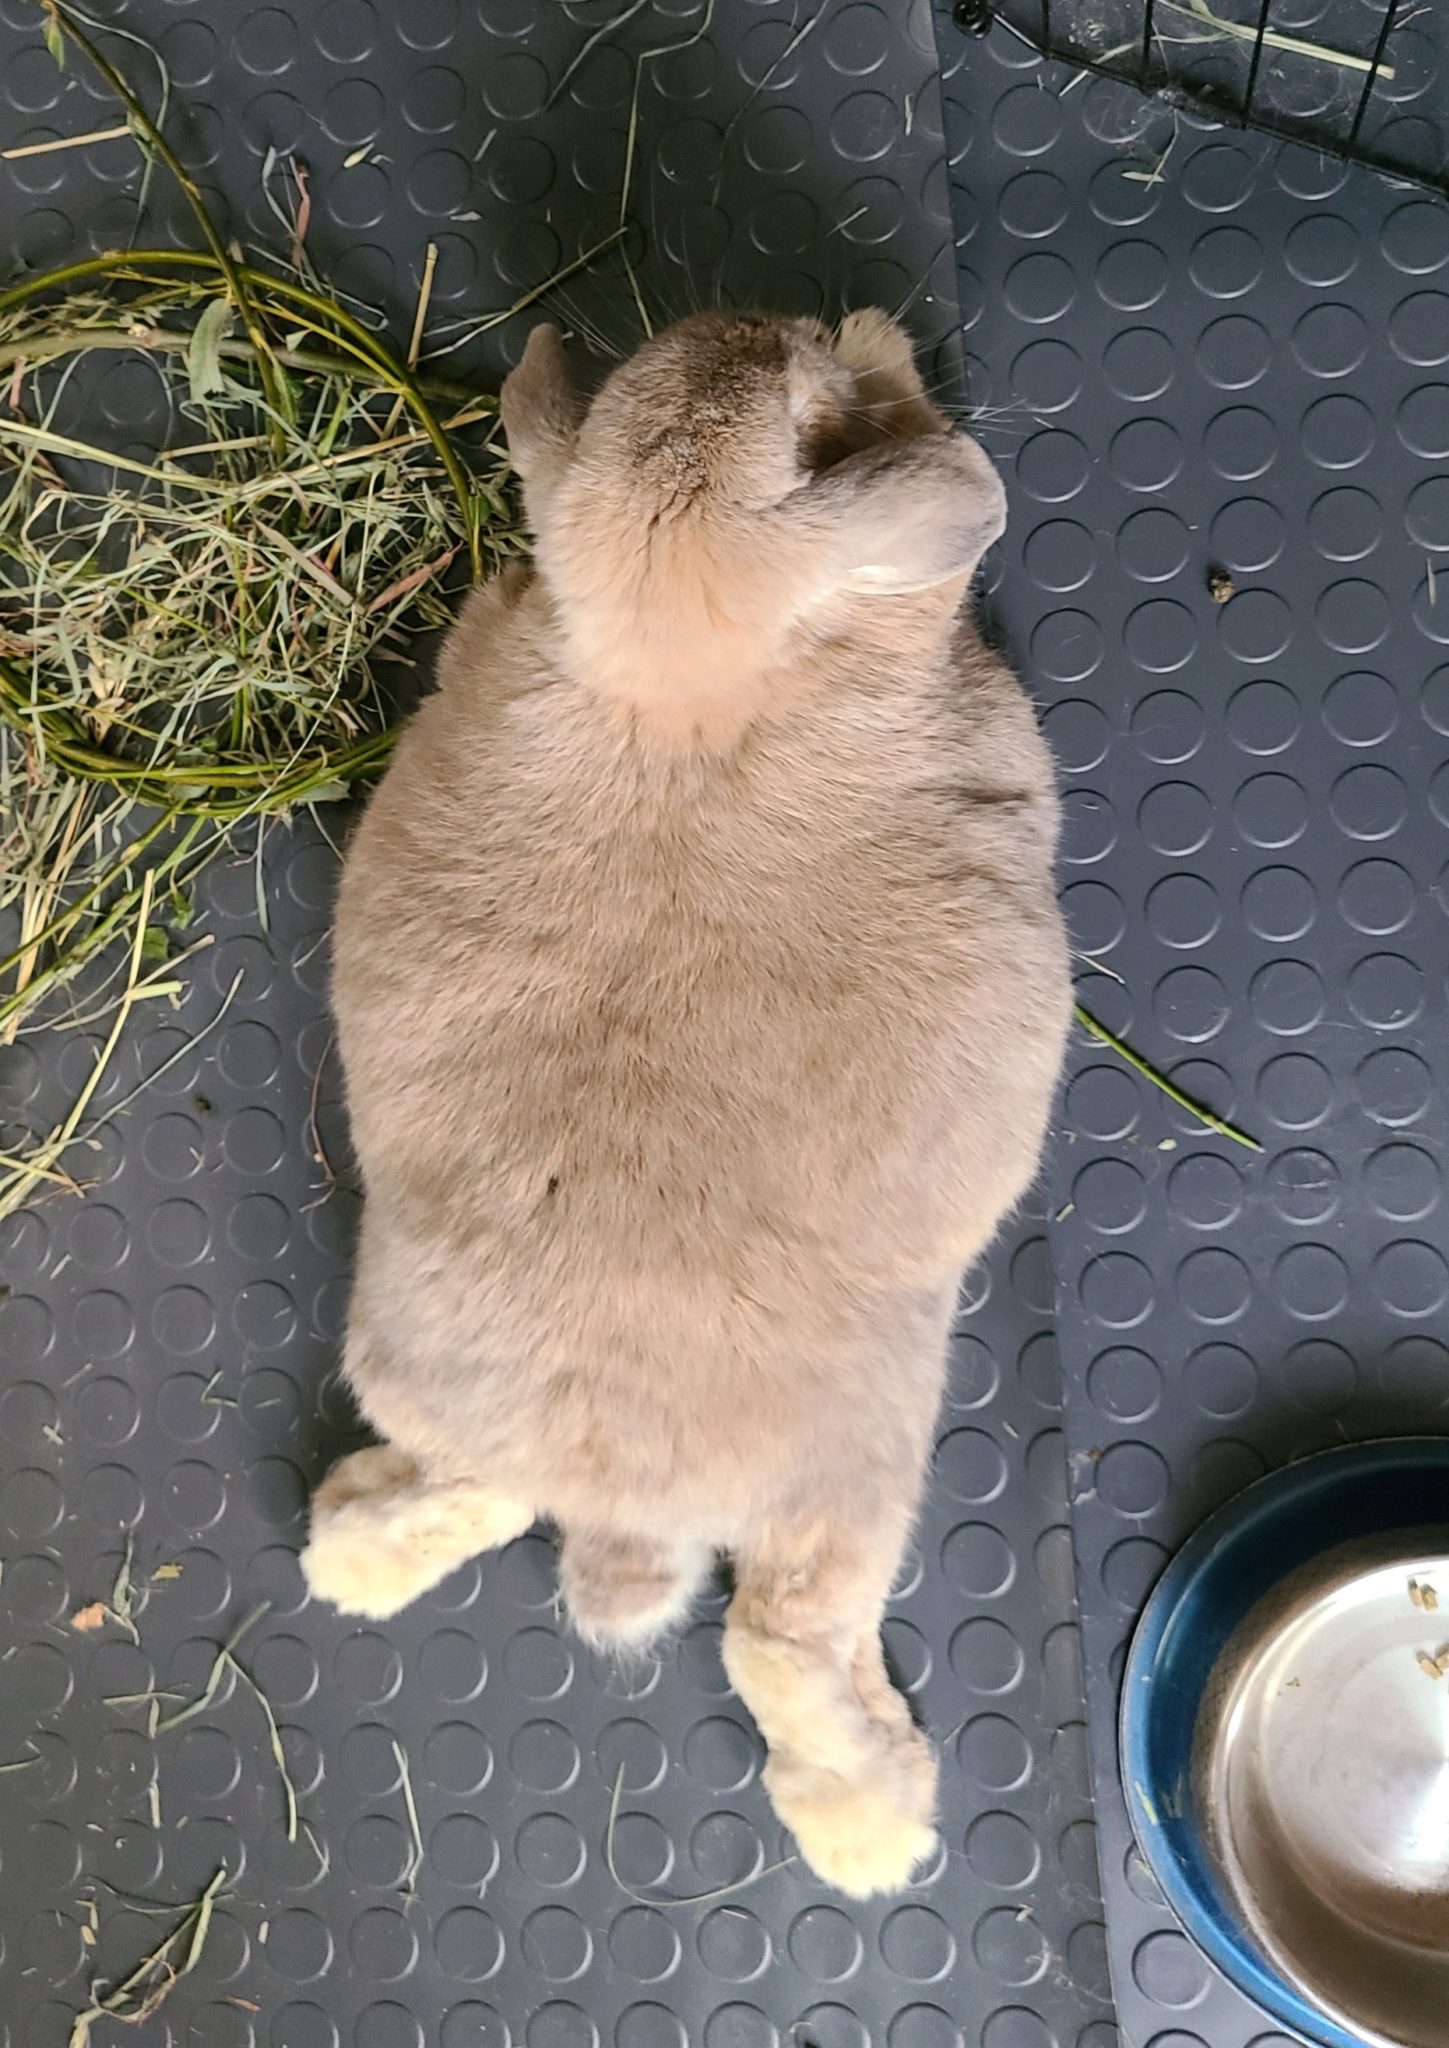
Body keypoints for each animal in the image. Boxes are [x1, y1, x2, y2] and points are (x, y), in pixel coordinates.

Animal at [301, 308, 1071, 1898]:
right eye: (802, 414)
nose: (785, 323)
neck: (679, 679)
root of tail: (628, 1512)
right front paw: (892, 357)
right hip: (854, 1481)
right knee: (780, 1637)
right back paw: (875, 1824)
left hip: (436, 1389)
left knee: (482, 1487)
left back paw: (346, 1548)